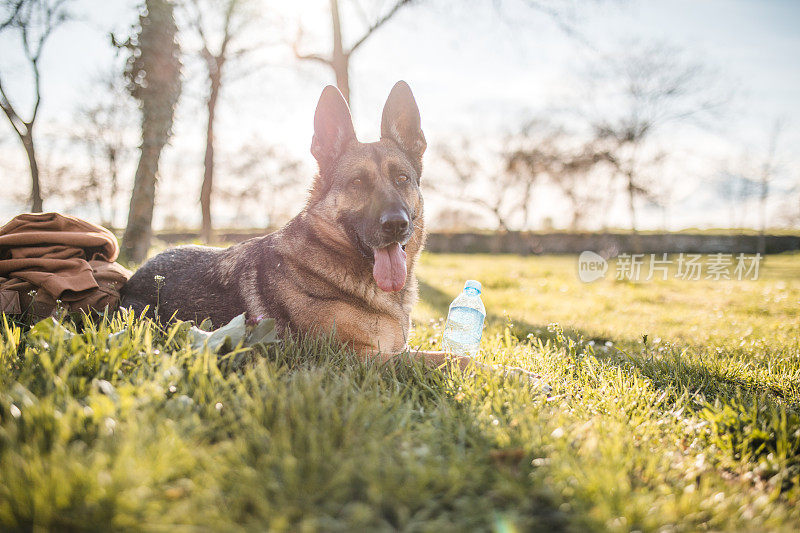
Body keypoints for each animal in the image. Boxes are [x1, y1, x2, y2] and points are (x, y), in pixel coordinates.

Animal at [122, 80, 540, 378]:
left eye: (402, 178)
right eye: (357, 183)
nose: (397, 224)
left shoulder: (397, 350)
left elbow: (444, 354)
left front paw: (513, 371)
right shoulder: (364, 361)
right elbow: (454, 361)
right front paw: (518, 377)